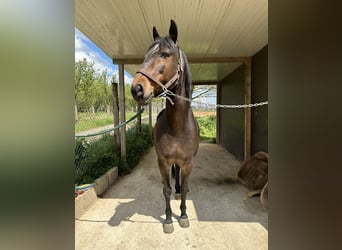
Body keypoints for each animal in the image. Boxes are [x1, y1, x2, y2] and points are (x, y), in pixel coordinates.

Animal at [131, 20, 200, 233]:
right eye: (145, 56)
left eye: (164, 54)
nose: (136, 89)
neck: (178, 127)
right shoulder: (163, 162)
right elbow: (166, 189)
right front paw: (169, 220)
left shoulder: (188, 163)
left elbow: (184, 189)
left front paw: (184, 215)